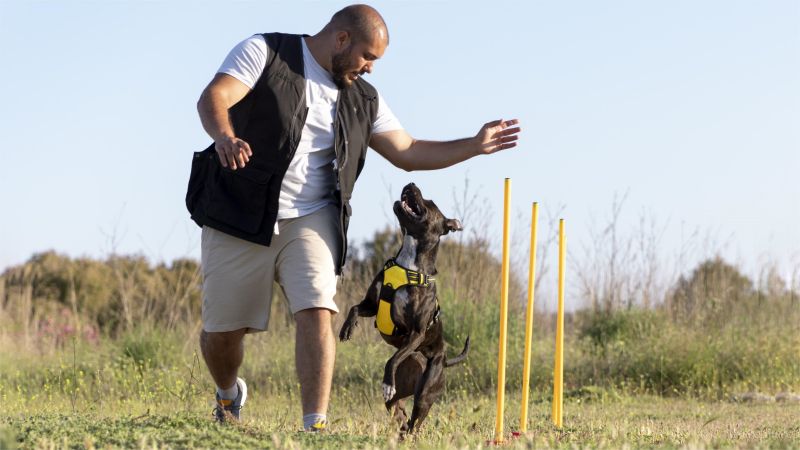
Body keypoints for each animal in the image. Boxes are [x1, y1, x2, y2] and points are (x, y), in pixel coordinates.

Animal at [338, 182, 468, 432]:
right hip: (403, 388)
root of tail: (444, 359)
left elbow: (393, 358)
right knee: (399, 411)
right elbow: (354, 308)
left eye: (431, 202)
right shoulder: (372, 304)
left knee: (416, 420)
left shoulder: (416, 333)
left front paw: (387, 383)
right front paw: (346, 328)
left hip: (426, 390)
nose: (411, 183)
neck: (409, 264)